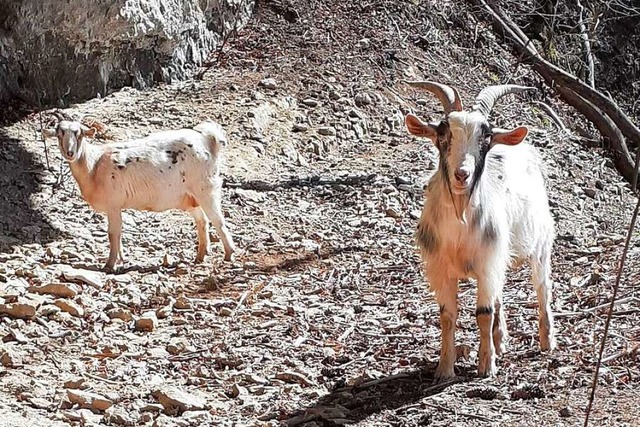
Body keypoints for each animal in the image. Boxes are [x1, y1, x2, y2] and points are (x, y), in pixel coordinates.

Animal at [43, 113, 238, 272]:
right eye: (60, 133)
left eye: (79, 134)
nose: (70, 152)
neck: (94, 165)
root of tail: (207, 138)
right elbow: (118, 233)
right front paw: (120, 260)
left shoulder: (113, 203)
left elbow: (113, 233)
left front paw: (109, 265)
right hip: (189, 197)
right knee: (202, 221)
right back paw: (200, 256)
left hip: (205, 188)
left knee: (218, 220)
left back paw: (229, 254)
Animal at [404, 82, 556, 380]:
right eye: (442, 133)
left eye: (485, 137)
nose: (462, 174)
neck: (460, 228)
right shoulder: (442, 268)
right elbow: (447, 315)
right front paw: (444, 368)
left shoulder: (487, 263)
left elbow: (483, 314)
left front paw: (486, 366)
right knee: (500, 295)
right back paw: (501, 340)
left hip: (540, 244)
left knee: (542, 288)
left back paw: (546, 341)